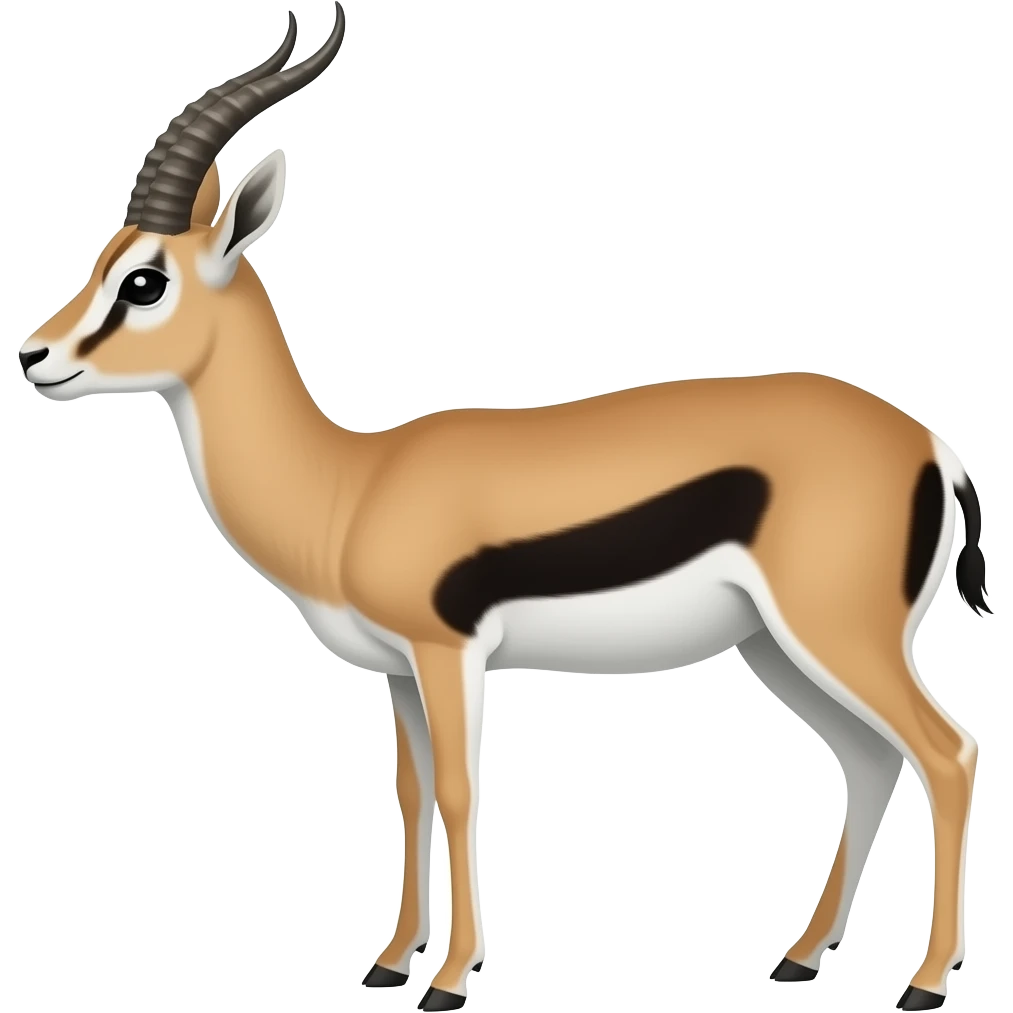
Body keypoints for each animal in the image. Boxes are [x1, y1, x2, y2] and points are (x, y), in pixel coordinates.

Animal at [16, 4, 988, 1010]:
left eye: (144, 279)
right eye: (103, 260)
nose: (34, 355)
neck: (350, 483)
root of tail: (932, 447)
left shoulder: (449, 652)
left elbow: (457, 789)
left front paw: (446, 980)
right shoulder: (397, 670)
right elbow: (408, 794)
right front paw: (387, 963)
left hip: (839, 632)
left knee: (947, 752)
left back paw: (922, 983)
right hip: (775, 646)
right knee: (869, 759)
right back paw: (798, 958)